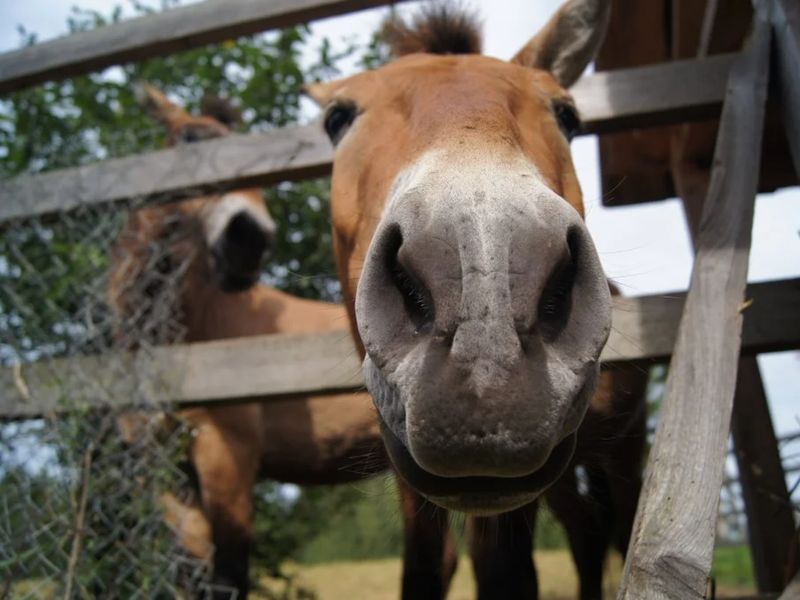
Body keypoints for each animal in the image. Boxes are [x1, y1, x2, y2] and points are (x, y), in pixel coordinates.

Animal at [305, 1, 647, 598]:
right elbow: (426, 565)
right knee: (586, 529)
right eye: (338, 120)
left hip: (624, 454)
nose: (485, 296)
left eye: (567, 116)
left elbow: (506, 571)